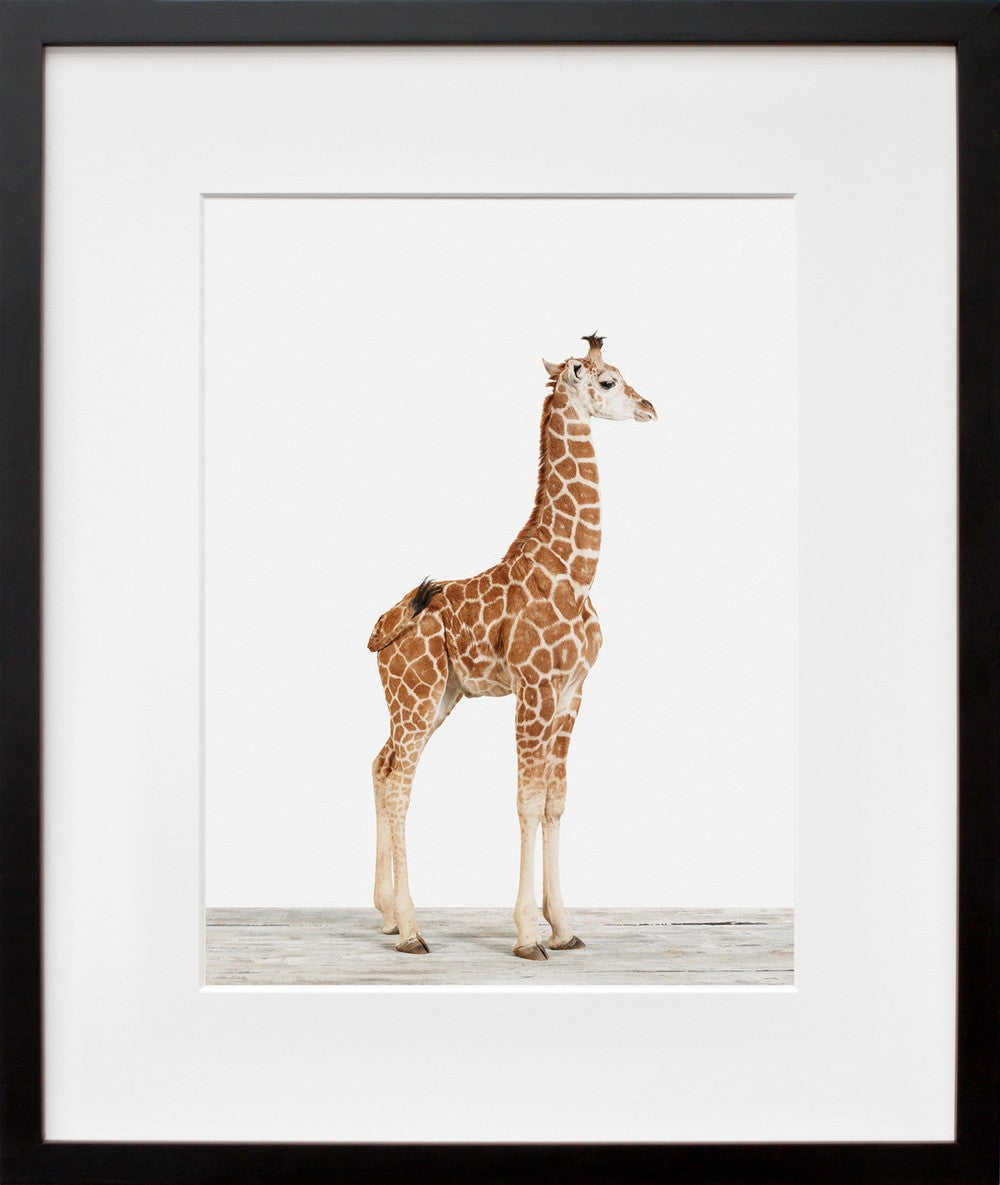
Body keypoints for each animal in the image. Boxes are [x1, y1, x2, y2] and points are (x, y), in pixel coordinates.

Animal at [367, 334, 657, 960]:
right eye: (606, 381)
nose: (649, 407)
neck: (576, 573)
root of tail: (378, 632)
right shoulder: (534, 687)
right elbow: (526, 798)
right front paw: (527, 935)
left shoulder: (572, 692)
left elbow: (555, 799)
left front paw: (564, 928)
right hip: (416, 696)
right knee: (400, 782)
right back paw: (412, 931)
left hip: (435, 699)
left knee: (381, 765)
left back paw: (387, 915)